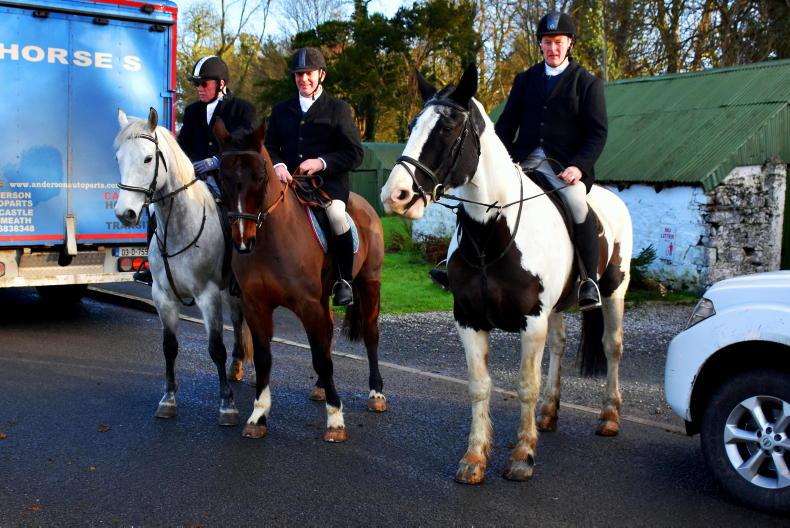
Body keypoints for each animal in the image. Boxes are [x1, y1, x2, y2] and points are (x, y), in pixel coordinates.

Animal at [114, 108, 252, 425]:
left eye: (148, 159)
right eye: (118, 158)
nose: (125, 213)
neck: (179, 226)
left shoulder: (208, 296)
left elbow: (215, 348)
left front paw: (227, 405)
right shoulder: (163, 297)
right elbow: (169, 347)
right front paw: (168, 399)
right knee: (238, 319)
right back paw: (237, 366)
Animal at [212, 119, 387, 443]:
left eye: (260, 176)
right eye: (222, 176)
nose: (242, 241)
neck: (270, 240)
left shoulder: (307, 305)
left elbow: (320, 357)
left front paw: (335, 419)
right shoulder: (256, 305)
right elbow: (265, 358)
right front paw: (258, 416)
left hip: (370, 283)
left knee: (370, 335)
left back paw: (376, 393)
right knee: (328, 334)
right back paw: (320, 388)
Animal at [381, 65, 632, 484]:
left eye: (447, 128)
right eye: (414, 124)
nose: (395, 196)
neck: (490, 235)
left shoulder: (531, 322)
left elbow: (525, 386)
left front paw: (521, 457)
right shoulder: (468, 319)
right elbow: (479, 386)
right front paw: (474, 458)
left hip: (614, 293)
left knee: (612, 346)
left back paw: (610, 417)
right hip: (558, 308)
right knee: (559, 346)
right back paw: (548, 414)